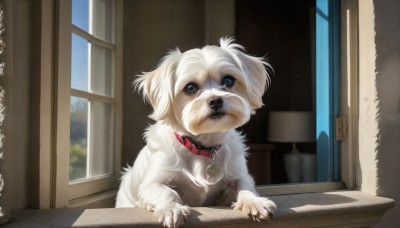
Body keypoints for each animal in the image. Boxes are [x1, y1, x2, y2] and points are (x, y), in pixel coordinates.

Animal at [116, 37, 276, 226]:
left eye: (228, 81)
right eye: (190, 88)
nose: (215, 100)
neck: (204, 146)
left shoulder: (238, 172)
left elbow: (245, 185)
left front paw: (255, 202)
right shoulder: (151, 183)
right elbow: (165, 191)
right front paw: (171, 209)